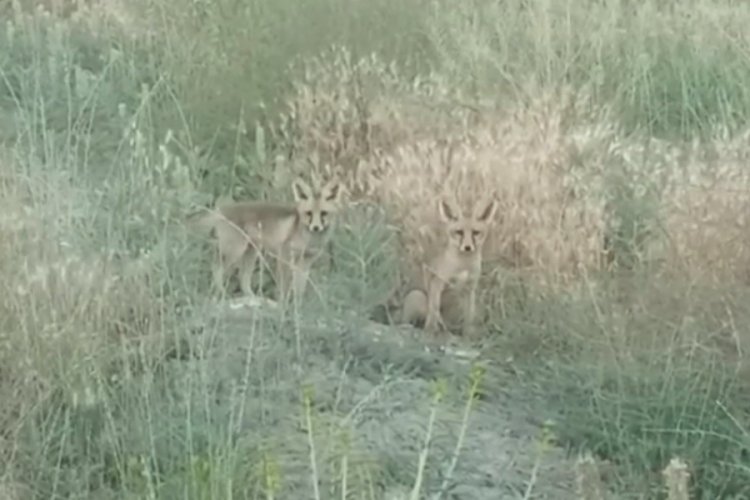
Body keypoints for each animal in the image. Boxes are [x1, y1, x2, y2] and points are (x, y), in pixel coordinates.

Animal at [189, 176, 346, 300]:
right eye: (309, 214)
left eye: (324, 213)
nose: (316, 227)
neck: (308, 238)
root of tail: (222, 209)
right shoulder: (284, 255)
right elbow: (284, 287)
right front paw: (282, 306)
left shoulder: (305, 262)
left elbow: (299, 289)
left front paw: (298, 308)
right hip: (235, 251)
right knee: (216, 268)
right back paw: (221, 293)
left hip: (250, 252)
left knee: (242, 277)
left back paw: (253, 299)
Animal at [400, 194, 500, 336]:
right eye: (459, 232)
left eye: (475, 233)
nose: (467, 247)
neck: (463, 266)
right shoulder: (438, 283)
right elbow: (434, 310)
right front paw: (430, 329)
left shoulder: (470, 288)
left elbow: (469, 316)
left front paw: (468, 334)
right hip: (416, 296)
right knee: (406, 321)